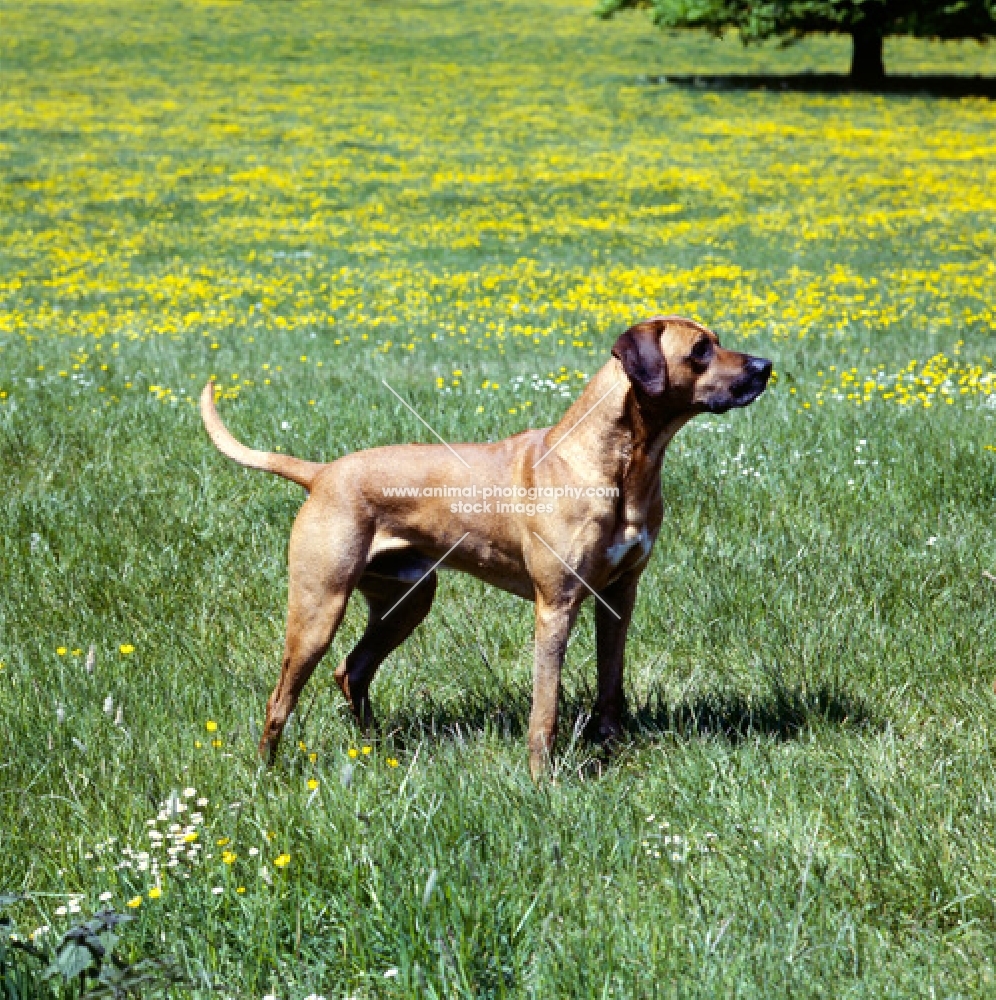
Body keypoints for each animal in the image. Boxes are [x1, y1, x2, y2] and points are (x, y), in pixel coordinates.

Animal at [200, 316, 772, 776]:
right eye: (700, 350)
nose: (766, 366)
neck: (619, 464)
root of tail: (320, 474)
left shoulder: (618, 597)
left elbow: (611, 686)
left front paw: (611, 754)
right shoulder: (556, 605)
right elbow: (546, 708)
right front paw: (543, 780)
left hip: (406, 602)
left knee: (353, 671)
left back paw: (378, 751)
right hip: (319, 606)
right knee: (281, 698)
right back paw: (268, 775)